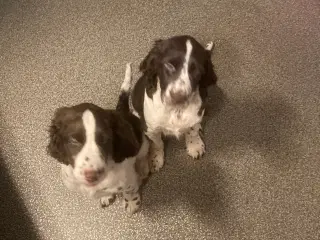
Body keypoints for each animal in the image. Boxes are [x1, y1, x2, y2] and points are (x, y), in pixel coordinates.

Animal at [47, 63, 149, 214]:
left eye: (105, 139)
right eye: (74, 140)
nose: (92, 175)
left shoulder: (128, 180)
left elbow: (129, 191)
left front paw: (131, 203)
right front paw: (106, 196)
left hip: (142, 143)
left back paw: (143, 168)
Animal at [131, 34, 218, 172]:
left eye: (197, 71)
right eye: (169, 65)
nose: (179, 97)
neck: (176, 111)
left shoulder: (195, 116)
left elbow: (192, 131)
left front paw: (195, 145)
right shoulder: (151, 129)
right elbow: (157, 143)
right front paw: (155, 158)